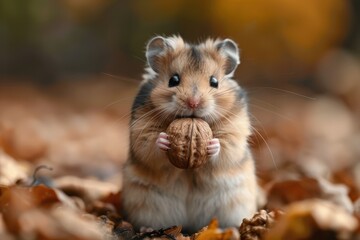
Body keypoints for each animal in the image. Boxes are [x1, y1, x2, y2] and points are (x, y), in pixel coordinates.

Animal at [122, 35, 258, 232]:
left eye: (214, 82)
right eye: (173, 80)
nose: (193, 103)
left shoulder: (236, 130)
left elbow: (226, 145)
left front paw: (212, 144)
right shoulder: (141, 128)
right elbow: (150, 145)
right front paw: (164, 140)